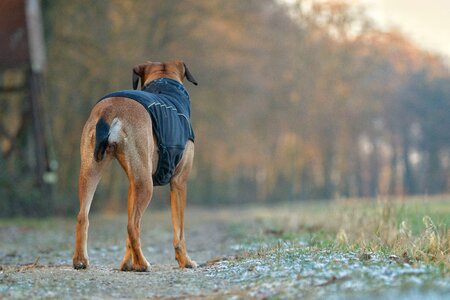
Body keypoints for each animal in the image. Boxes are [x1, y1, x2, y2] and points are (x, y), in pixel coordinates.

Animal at [73, 59, 197, 270]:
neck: (165, 83)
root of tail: (111, 109)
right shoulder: (179, 182)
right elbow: (179, 231)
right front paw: (185, 261)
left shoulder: (132, 184)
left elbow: (128, 236)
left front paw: (126, 263)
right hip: (146, 185)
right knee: (132, 225)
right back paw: (142, 264)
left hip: (91, 170)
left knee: (84, 216)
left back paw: (80, 260)